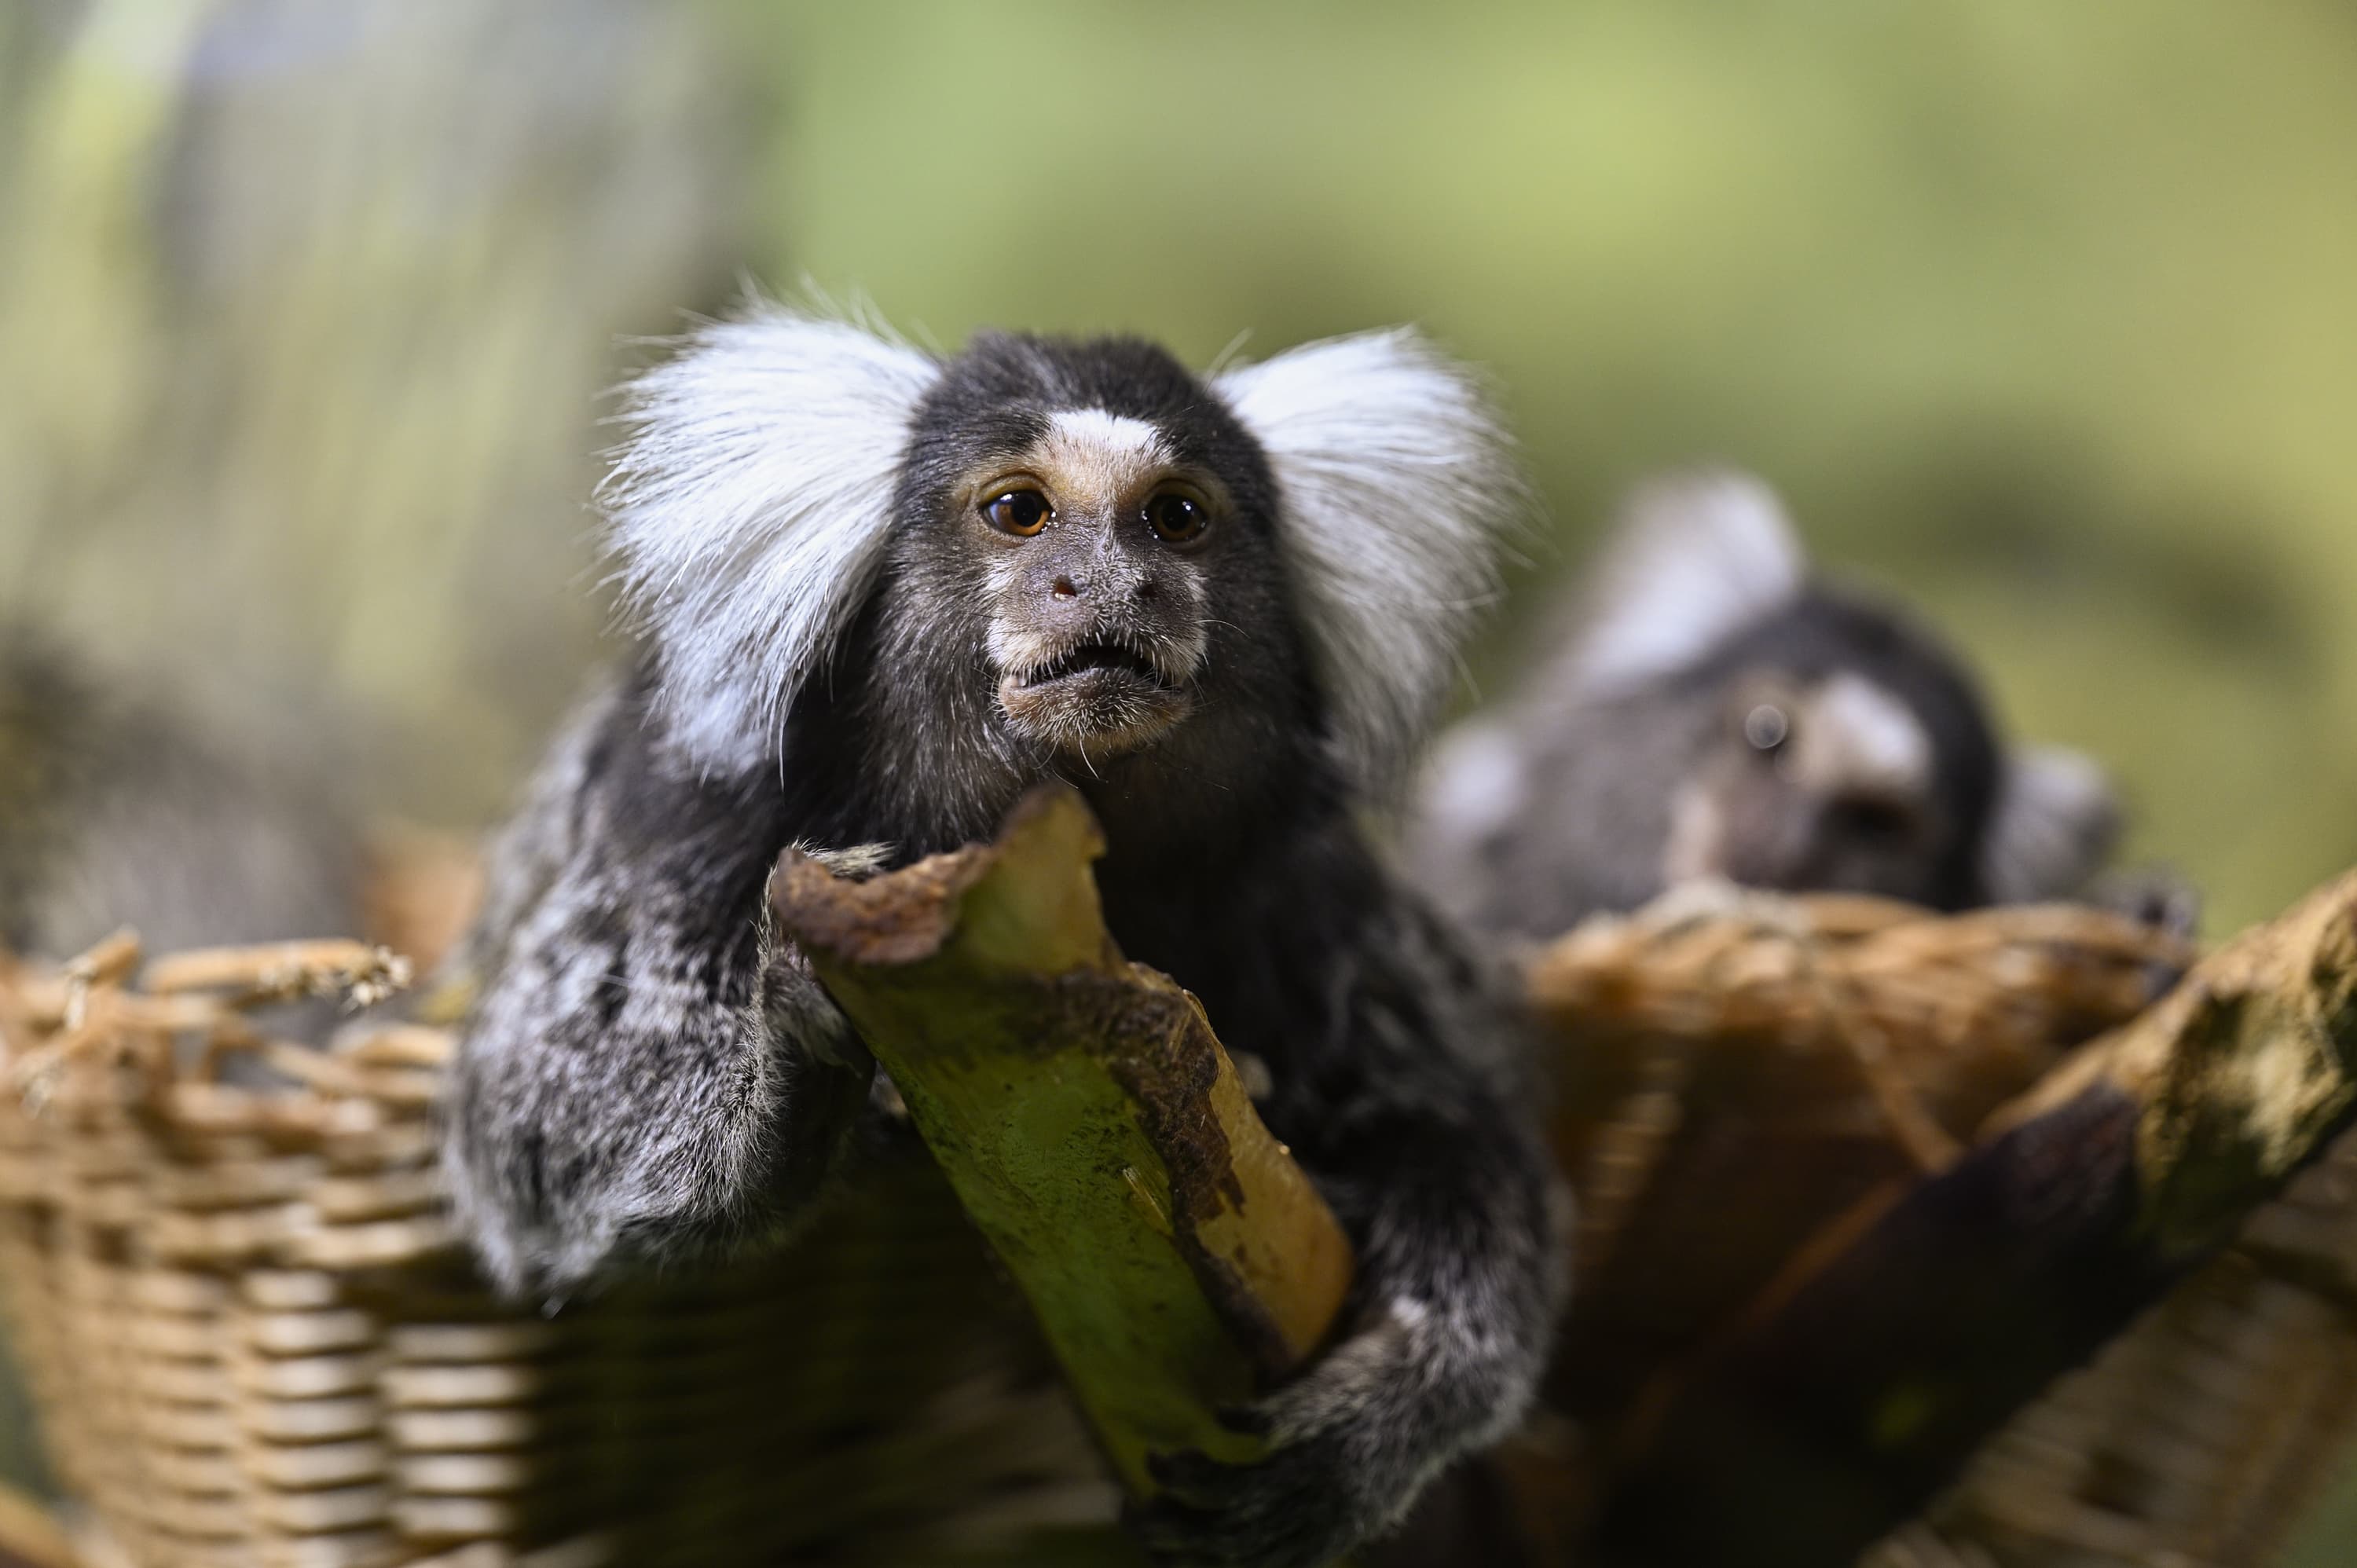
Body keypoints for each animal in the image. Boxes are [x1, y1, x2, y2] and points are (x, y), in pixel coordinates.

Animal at [439, 304, 1568, 1568]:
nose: (1109, 584)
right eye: (1019, 511)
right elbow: (538, 1124)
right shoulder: (683, 800)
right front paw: (797, 1041)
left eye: (1175, 517)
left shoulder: (1308, 881)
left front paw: (1380, 1419)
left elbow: (1466, 1126)